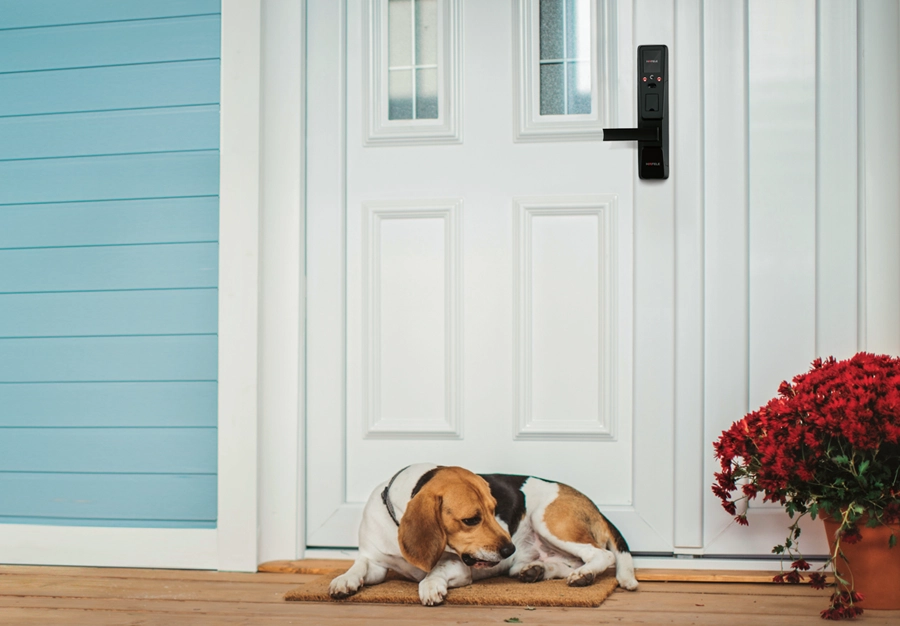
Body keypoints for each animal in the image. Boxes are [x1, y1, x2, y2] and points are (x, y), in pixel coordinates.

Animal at [330, 460, 640, 604]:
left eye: (494, 509)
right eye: (471, 520)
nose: (509, 550)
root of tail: (594, 506)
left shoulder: (459, 566)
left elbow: (435, 570)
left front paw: (429, 585)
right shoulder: (374, 562)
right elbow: (358, 567)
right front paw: (344, 581)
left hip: (547, 520)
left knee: (601, 557)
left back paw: (584, 575)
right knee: (566, 564)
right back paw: (535, 570)